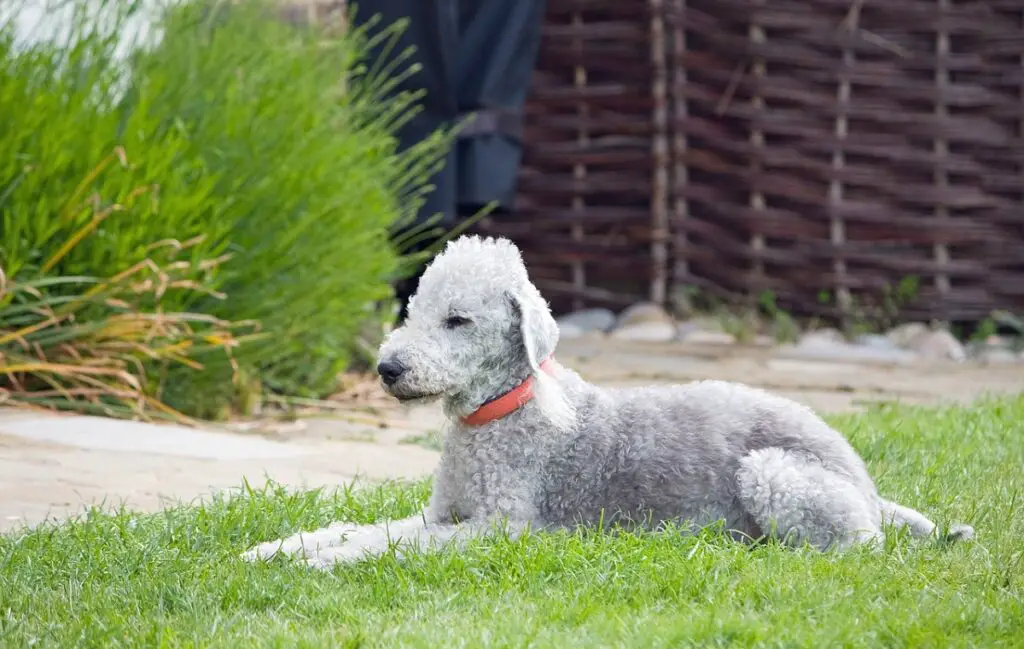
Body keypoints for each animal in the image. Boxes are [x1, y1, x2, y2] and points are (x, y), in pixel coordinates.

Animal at [241, 233, 974, 565]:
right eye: (413, 309)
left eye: (458, 320)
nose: (388, 368)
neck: (497, 414)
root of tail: (864, 479)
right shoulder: (441, 514)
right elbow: (364, 528)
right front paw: (275, 549)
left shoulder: (501, 528)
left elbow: (388, 545)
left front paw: (321, 562)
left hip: (775, 473)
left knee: (856, 545)